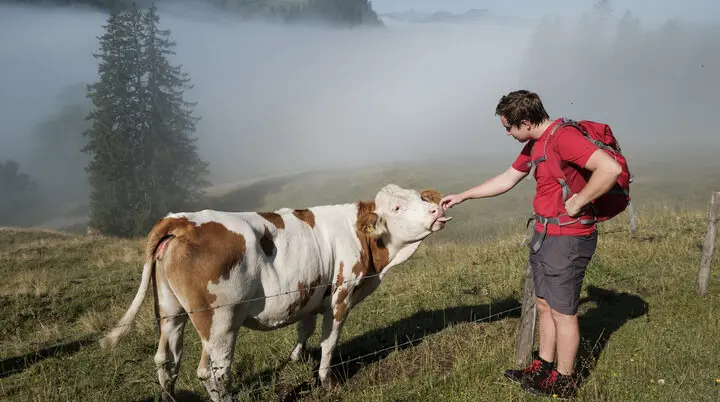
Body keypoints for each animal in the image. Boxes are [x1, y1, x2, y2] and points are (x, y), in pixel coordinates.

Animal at [99, 184, 453, 402]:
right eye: (398, 207)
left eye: (422, 199)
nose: (436, 211)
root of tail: (182, 220)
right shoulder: (341, 295)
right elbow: (329, 342)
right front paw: (327, 381)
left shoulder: (312, 293)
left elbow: (304, 329)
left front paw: (296, 358)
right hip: (220, 321)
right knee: (213, 371)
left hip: (171, 311)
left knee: (166, 360)